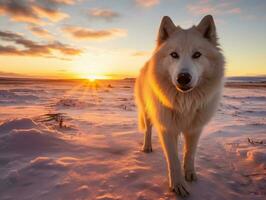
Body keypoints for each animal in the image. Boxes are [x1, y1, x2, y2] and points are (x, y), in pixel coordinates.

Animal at [135, 15, 224, 197]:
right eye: (174, 55)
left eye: (197, 54)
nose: (183, 78)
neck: (185, 103)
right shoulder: (167, 129)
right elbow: (173, 161)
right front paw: (178, 186)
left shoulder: (195, 129)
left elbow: (190, 154)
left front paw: (190, 175)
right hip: (147, 113)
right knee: (148, 130)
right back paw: (147, 147)